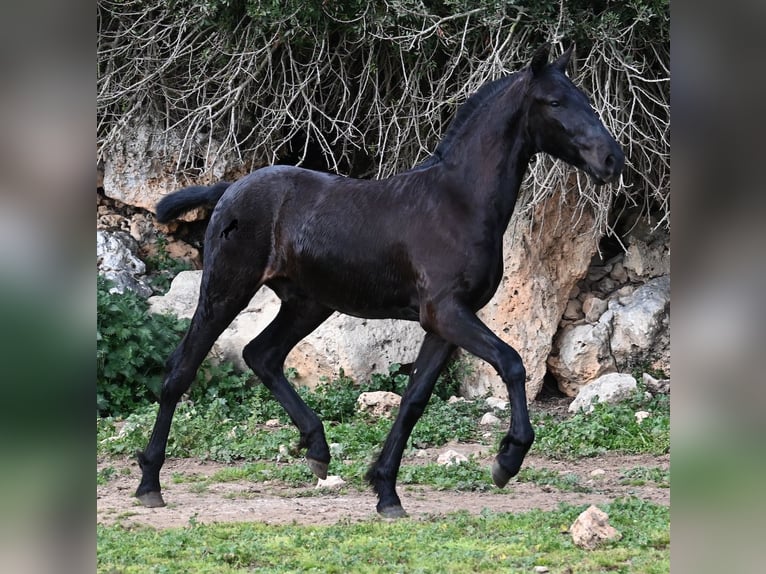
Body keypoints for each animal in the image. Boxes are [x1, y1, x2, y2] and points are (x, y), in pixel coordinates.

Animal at [136, 42, 624, 516]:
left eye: (586, 99)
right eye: (555, 101)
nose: (612, 159)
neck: (458, 204)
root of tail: (230, 190)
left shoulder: (445, 323)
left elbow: (414, 400)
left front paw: (386, 491)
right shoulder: (447, 313)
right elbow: (512, 363)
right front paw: (507, 460)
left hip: (308, 303)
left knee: (262, 354)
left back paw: (318, 450)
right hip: (226, 288)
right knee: (182, 368)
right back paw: (149, 483)